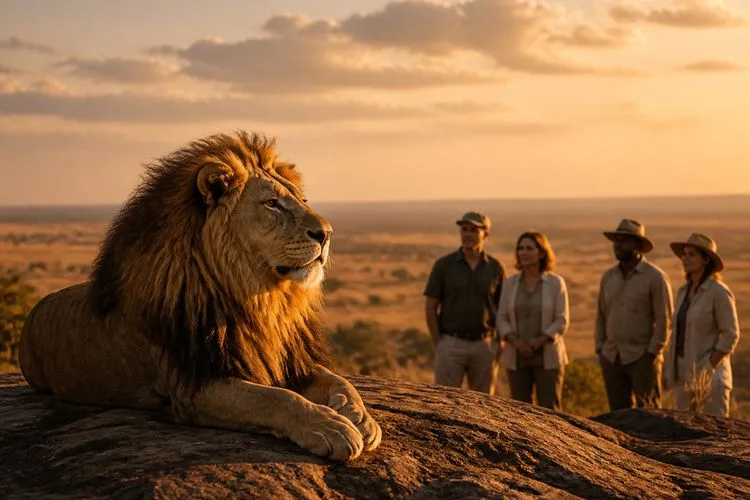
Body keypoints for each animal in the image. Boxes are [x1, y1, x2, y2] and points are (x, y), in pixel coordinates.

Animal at [19, 131, 381, 461]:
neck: (258, 300)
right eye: (272, 203)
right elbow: (275, 399)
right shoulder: (194, 385)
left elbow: (339, 381)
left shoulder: (291, 360)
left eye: (302, 201)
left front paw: (361, 419)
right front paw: (330, 428)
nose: (327, 233)